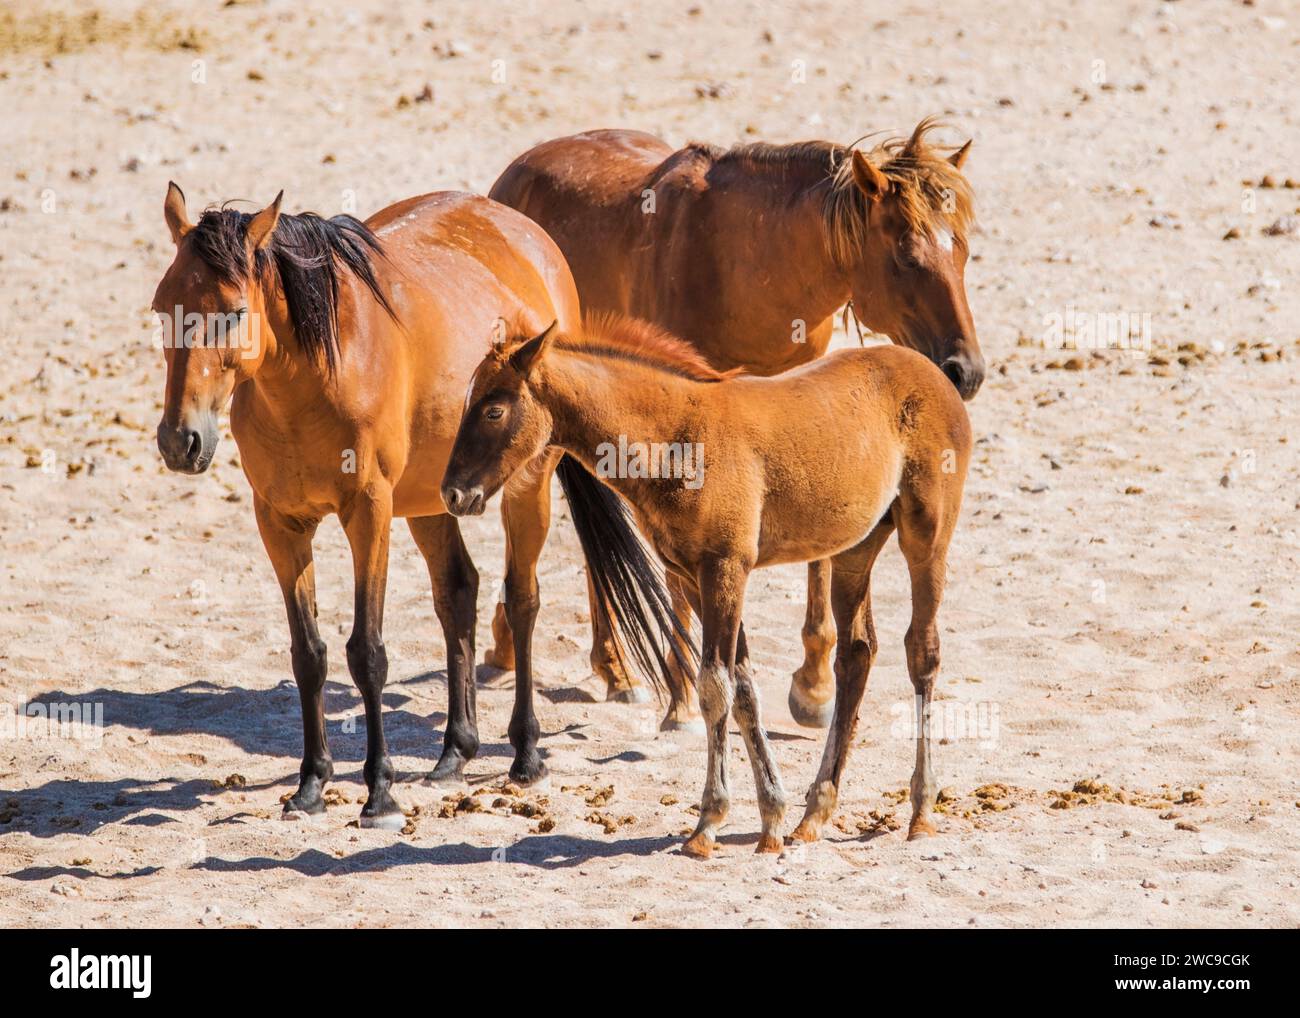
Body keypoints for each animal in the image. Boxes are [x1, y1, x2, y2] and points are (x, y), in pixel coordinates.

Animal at [153, 184, 681, 826]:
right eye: (161, 308)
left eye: (231, 312)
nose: (180, 441)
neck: (314, 377)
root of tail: (522, 229)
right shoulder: (280, 524)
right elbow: (309, 654)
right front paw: (311, 783)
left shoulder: (369, 514)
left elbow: (367, 654)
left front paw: (379, 792)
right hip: (430, 502)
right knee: (458, 593)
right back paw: (455, 750)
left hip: (524, 485)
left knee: (522, 601)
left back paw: (525, 753)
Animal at [441, 314, 972, 858]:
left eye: (494, 410)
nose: (453, 494)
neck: (676, 434)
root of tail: (933, 373)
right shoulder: (693, 577)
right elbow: (742, 685)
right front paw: (772, 817)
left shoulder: (725, 568)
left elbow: (714, 685)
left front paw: (707, 824)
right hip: (854, 551)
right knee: (856, 656)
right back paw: (815, 813)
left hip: (926, 536)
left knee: (922, 652)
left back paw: (921, 810)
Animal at [491, 117, 977, 733]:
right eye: (906, 259)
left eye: (964, 253)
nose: (965, 370)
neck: (751, 265)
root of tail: (516, 172)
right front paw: (680, 693)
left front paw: (813, 685)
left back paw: (613, 668)